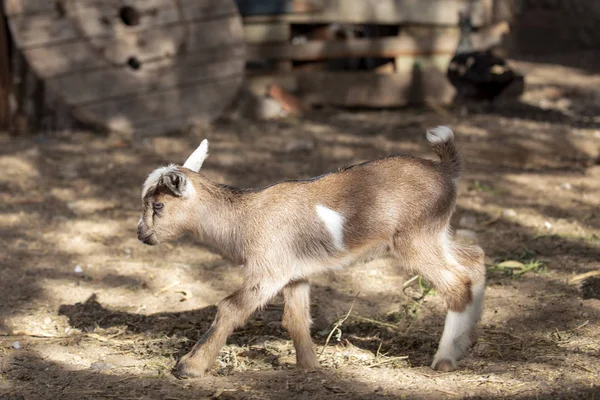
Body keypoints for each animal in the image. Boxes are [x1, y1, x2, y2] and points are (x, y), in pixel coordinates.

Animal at [138, 126, 486, 376]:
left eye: (158, 205)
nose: (141, 234)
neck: (244, 216)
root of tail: (445, 171)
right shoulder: (294, 275)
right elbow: (295, 319)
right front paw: (310, 366)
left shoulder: (269, 271)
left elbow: (229, 307)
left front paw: (190, 367)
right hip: (436, 234)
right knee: (475, 259)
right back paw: (467, 340)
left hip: (415, 239)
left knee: (457, 285)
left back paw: (445, 359)